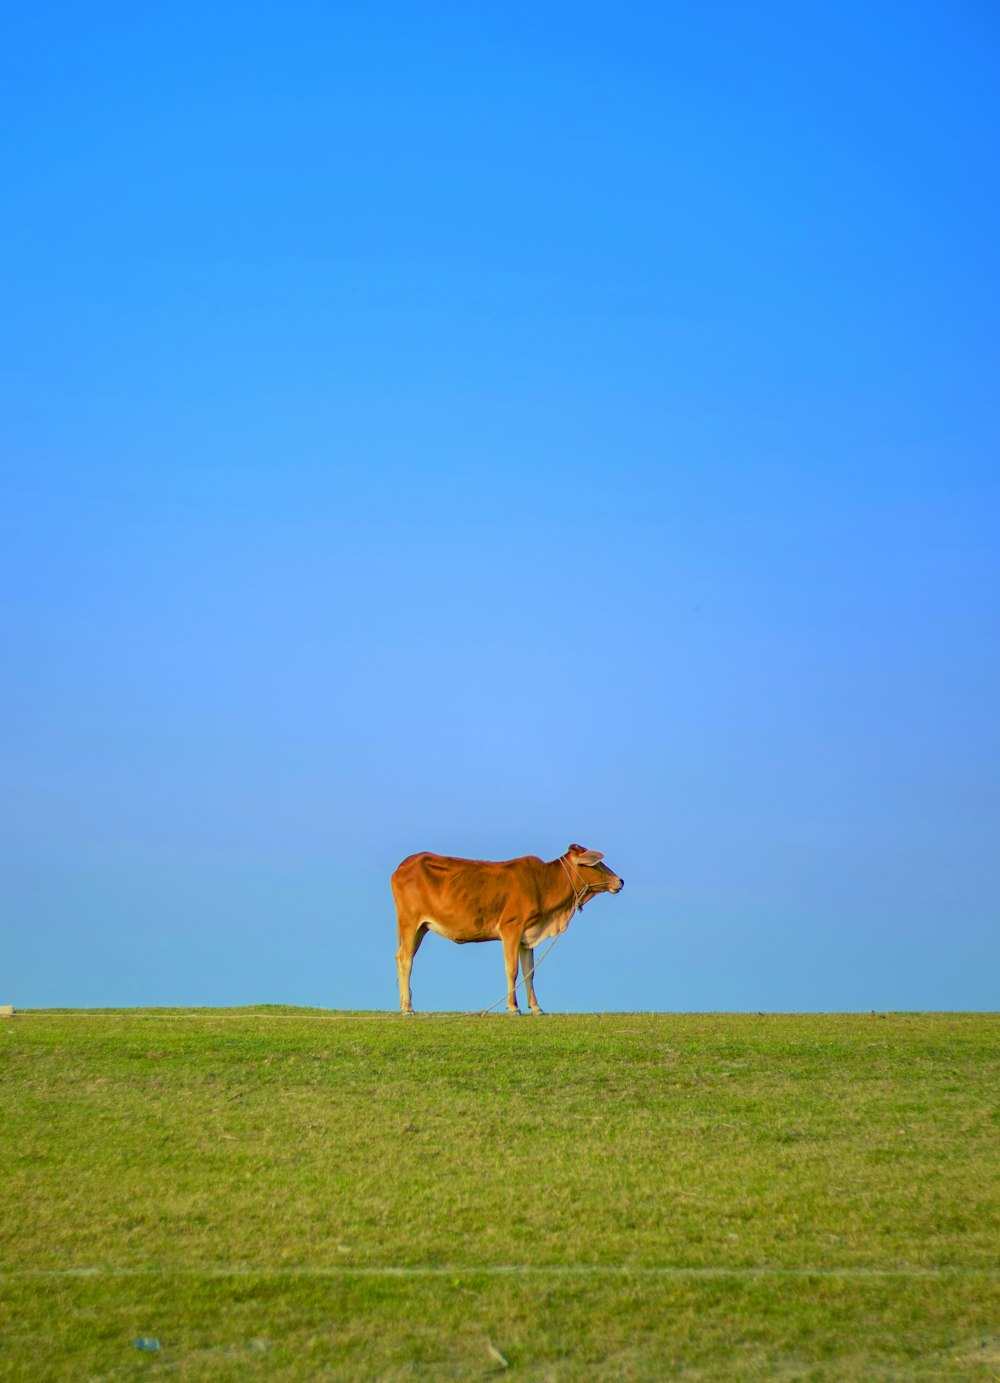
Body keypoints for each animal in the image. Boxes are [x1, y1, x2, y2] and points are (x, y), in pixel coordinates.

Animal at [392, 840, 622, 1017]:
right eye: (597, 864)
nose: (620, 881)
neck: (544, 883)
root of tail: (404, 865)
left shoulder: (527, 937)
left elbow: (529, 972)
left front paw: (536, 1008)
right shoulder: (511, 928)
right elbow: (512, 969)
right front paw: (513, 1007)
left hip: (421, 927)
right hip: (410, 923)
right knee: (405, 959)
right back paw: (408, 1008)